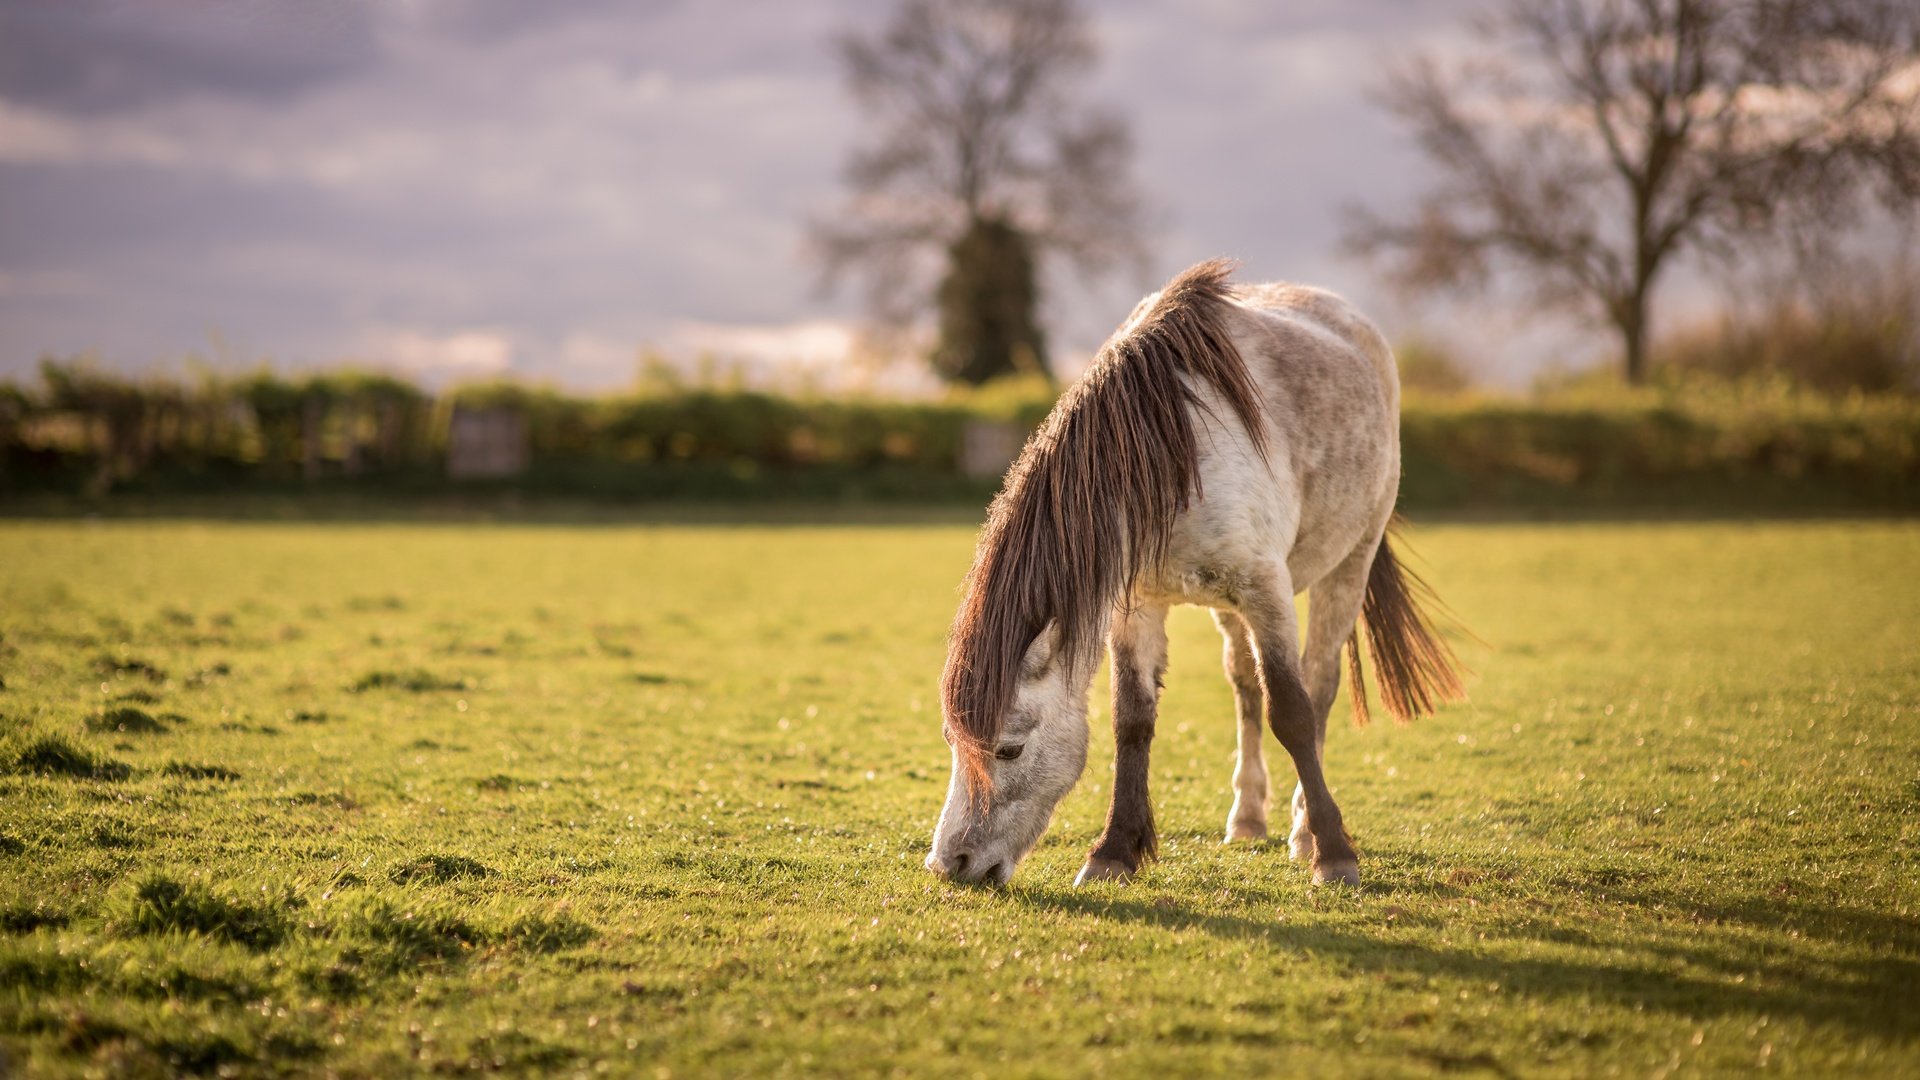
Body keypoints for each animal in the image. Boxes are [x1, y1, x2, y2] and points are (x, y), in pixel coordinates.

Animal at [921, 259, 1459, 883]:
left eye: (1009, 748)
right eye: (952, 741)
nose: (951, 862)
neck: (1172, 459)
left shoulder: (1266, 591)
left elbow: (1292, 711)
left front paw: (1334, 853)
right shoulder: (1136, 605)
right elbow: (1132, 720)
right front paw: (1113, 852)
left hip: (1348, 563)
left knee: (1319, 685)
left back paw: (1304, 830)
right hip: (1228, 609)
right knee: (1245, 686)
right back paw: (1247, 817)